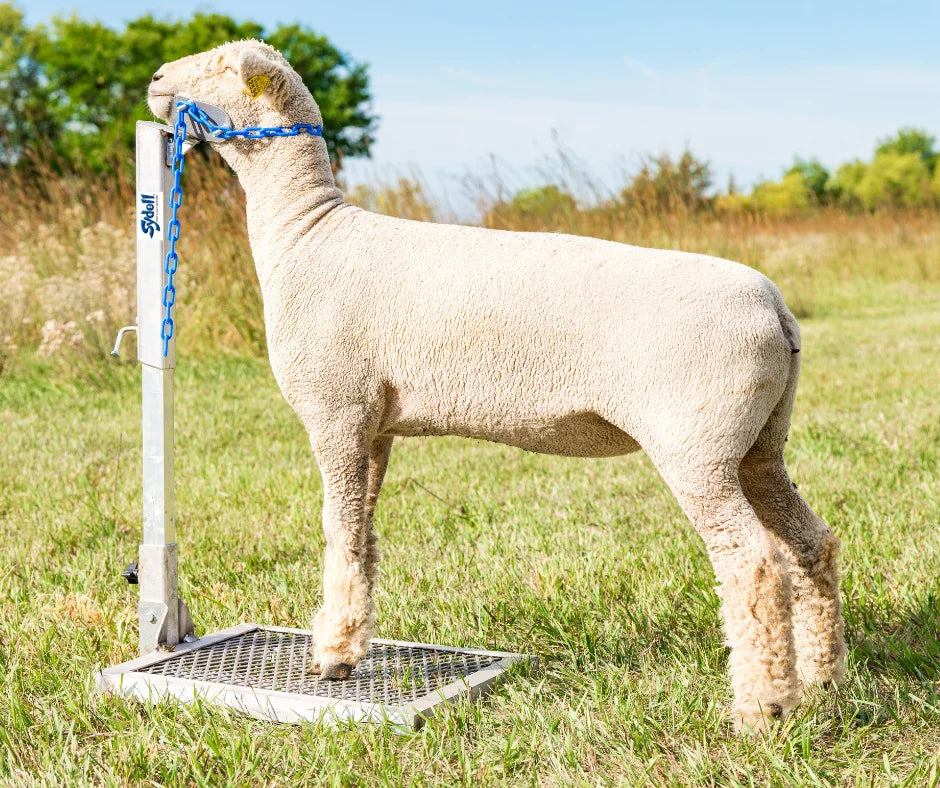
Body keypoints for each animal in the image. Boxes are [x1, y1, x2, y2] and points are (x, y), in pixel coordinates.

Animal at [147, 40, 846, 732]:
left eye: (218, 66)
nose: (154, 79)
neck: (306, 233)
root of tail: (777, 310)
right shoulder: (374, 424)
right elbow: (365, 537)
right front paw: (350, 646)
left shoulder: (335, 410)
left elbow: (338, 534)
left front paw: (332, 658)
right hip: (760, 442)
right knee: (810, 542)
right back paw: (823, 676)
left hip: (697, 444)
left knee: (753, 562)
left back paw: (763, 707)